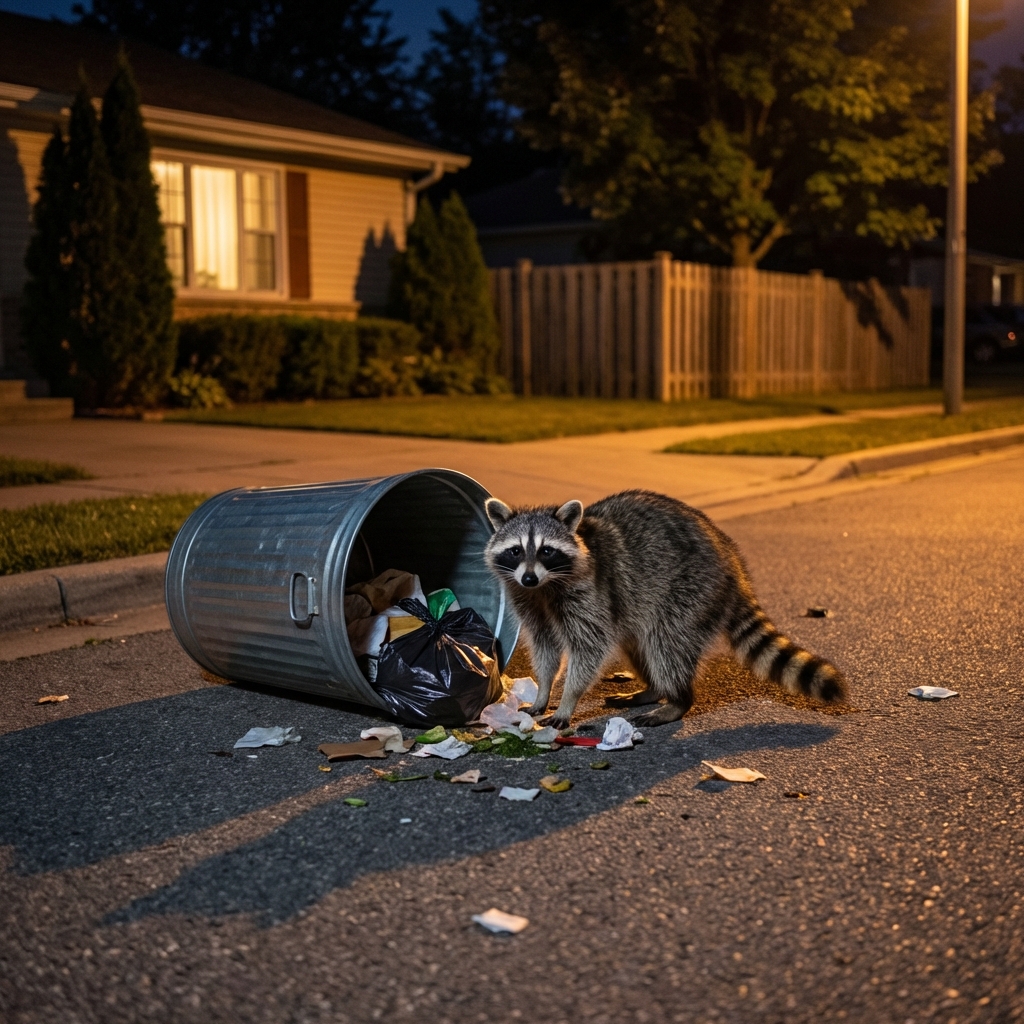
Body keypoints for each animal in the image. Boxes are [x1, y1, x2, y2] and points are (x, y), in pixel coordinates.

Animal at [484, 489, 845, 729]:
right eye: (516, 551)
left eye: (546, 550)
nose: (529, 577)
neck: (544, 587)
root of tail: (733, 561)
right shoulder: (528, 599)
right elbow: (545, 648)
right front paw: (544, 692)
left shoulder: (590, 592)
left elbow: (590, 648)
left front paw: (569, 699)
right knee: (639, 644)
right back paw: (654, 689)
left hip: (689, 590)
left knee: (667, 645)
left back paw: (678, 700)